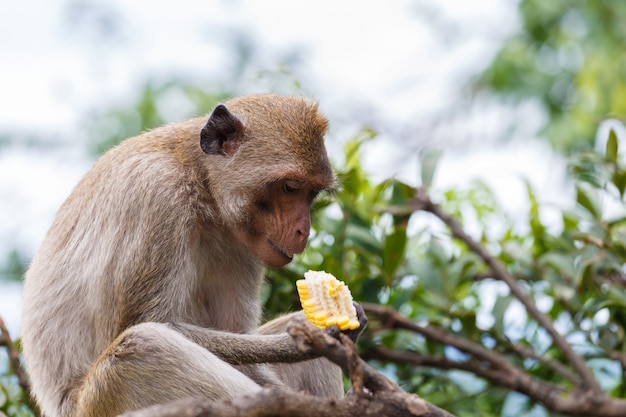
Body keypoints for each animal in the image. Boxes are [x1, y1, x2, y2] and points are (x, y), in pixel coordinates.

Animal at [20, 94, 366, 416]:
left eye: (312, 193)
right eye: (291, 186)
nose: (303, 230)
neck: (201, 185)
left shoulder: (241, 243)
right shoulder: (157, 197)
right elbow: (139, 326)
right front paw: (300, 343)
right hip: (99, 404)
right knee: (139, 348)